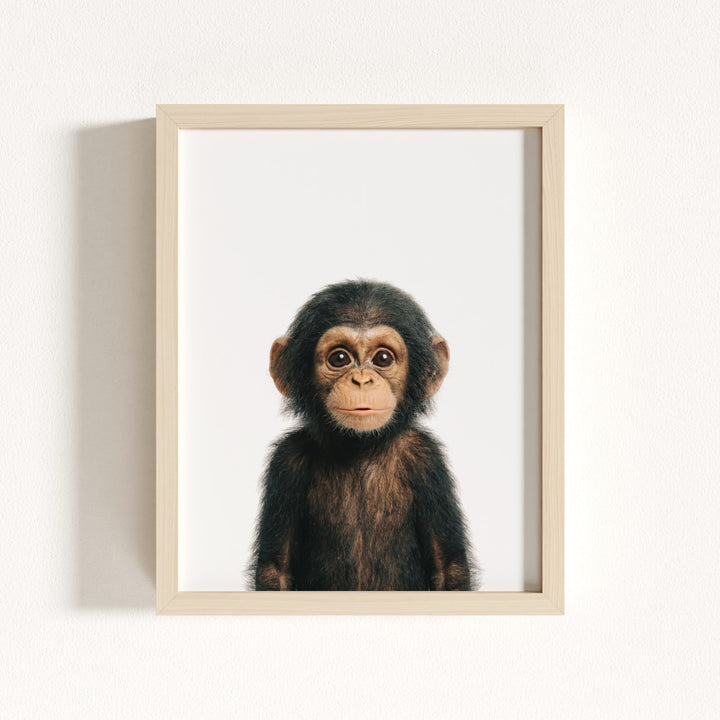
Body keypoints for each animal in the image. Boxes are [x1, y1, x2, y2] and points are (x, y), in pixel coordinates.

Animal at [250, 279, 476, 591]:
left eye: (383, 358)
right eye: (339, 358)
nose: (361, 379)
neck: (360, 446)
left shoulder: (427, 459)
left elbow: (448, 568)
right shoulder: (287, 461)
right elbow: (275, 569)